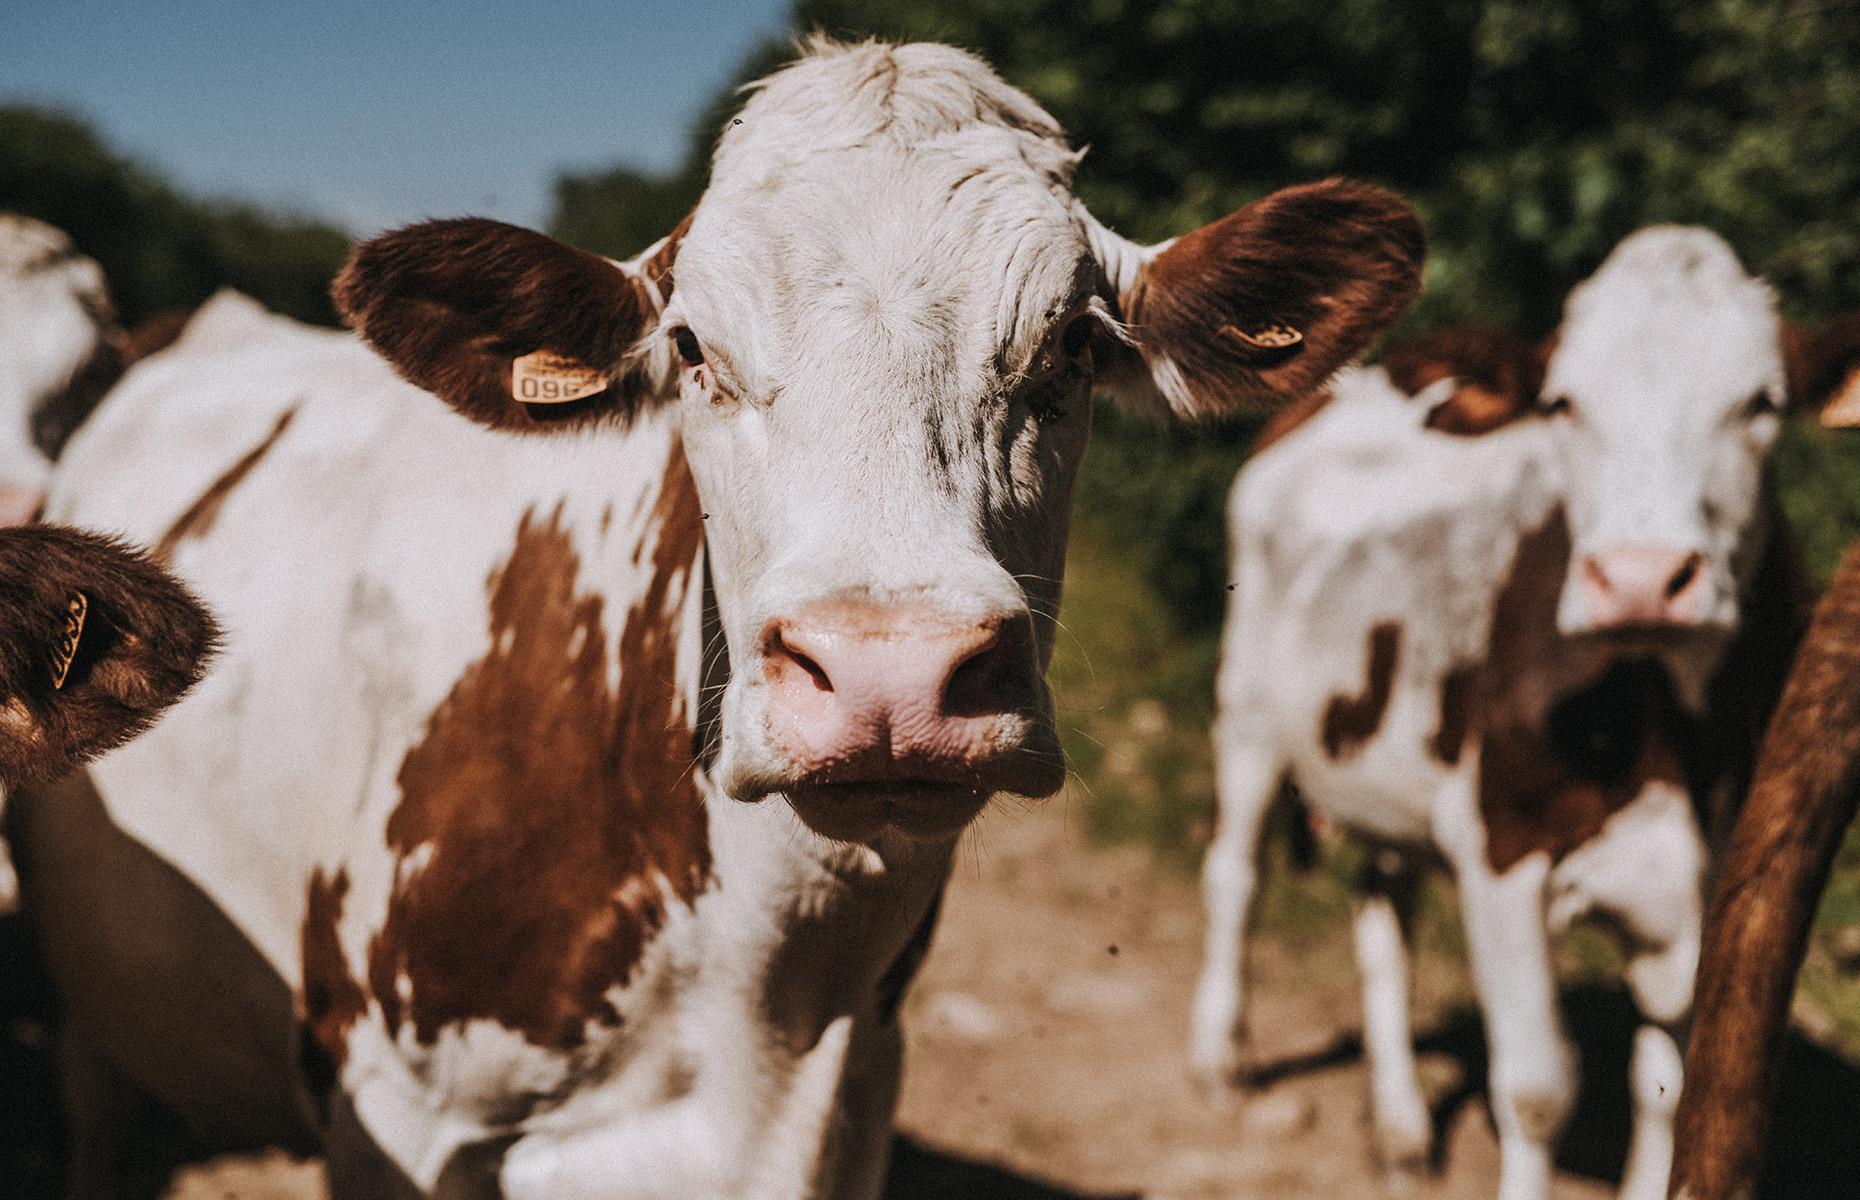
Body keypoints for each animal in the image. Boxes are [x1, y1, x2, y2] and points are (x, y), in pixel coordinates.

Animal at [1190, 225, 1860, 1198]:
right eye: (1562, 402)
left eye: (1761, 403)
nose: (1641, 578)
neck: (1660, 733)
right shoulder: (1500, 853)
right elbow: (1538, 1088)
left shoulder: (1719, 878)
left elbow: (1668, 1089)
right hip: (1245, 713)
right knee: (1236, 875)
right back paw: (1218, 1058)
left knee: (1383, 915)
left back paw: (1400, 1123)